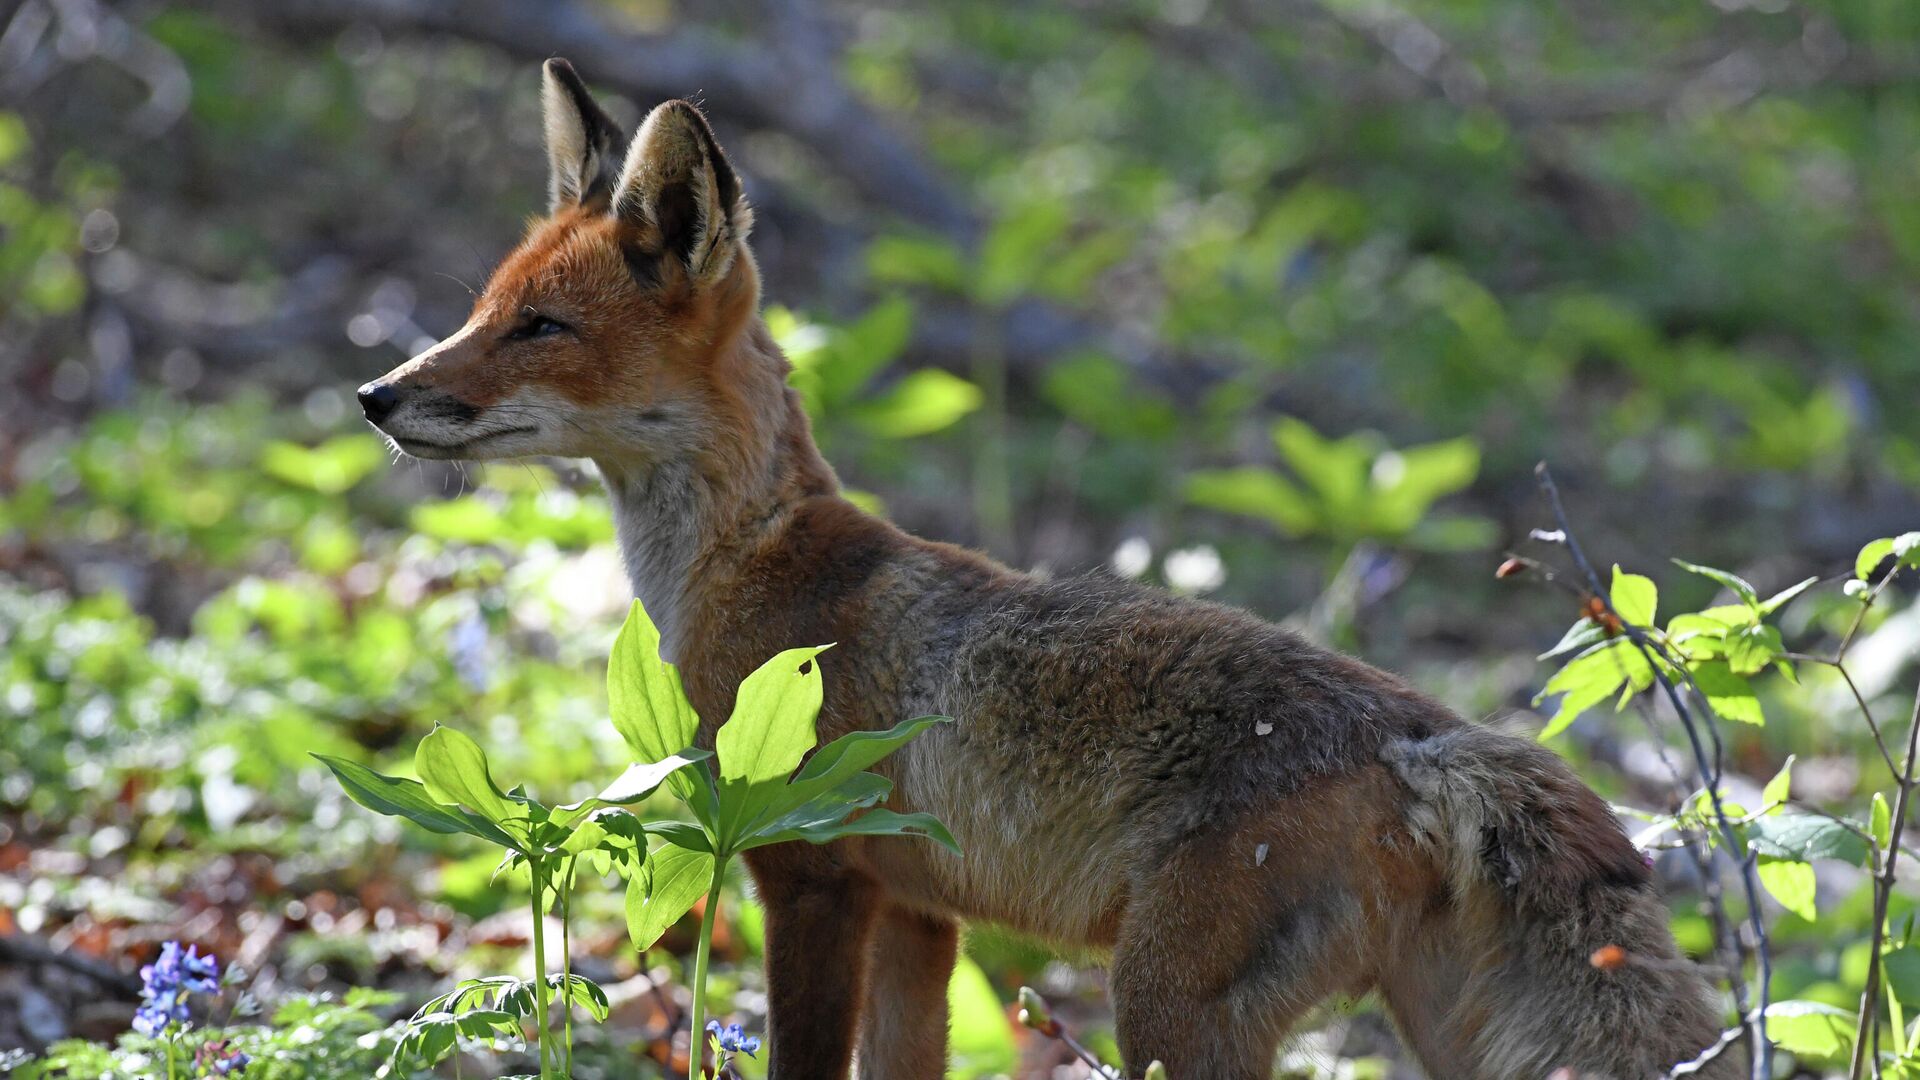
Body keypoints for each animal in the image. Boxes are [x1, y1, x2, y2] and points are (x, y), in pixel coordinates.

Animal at [353, 61, 1751, 1076]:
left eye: (541, 329)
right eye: (481, 309)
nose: (377, 394)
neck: (750, 570)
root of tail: (1432, 737)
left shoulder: (809, 875)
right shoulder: (918, 916)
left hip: (1167, 1009)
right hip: (1423, 1026)